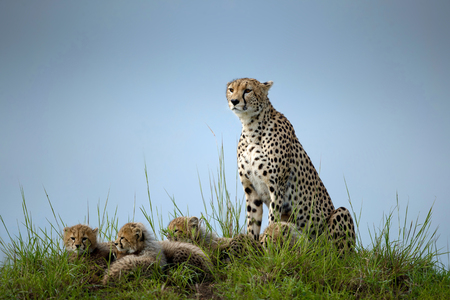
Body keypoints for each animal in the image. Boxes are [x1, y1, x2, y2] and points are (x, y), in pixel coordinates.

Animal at [227, 78, 356, 251]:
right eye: (231, 89)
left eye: (248, 90)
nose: (234, 101)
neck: (251, 128)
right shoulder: (251, 190)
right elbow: (252, 222)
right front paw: (251, 244)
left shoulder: (276, 186)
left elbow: (273, 220)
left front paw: (267, 244)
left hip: (340, 216)